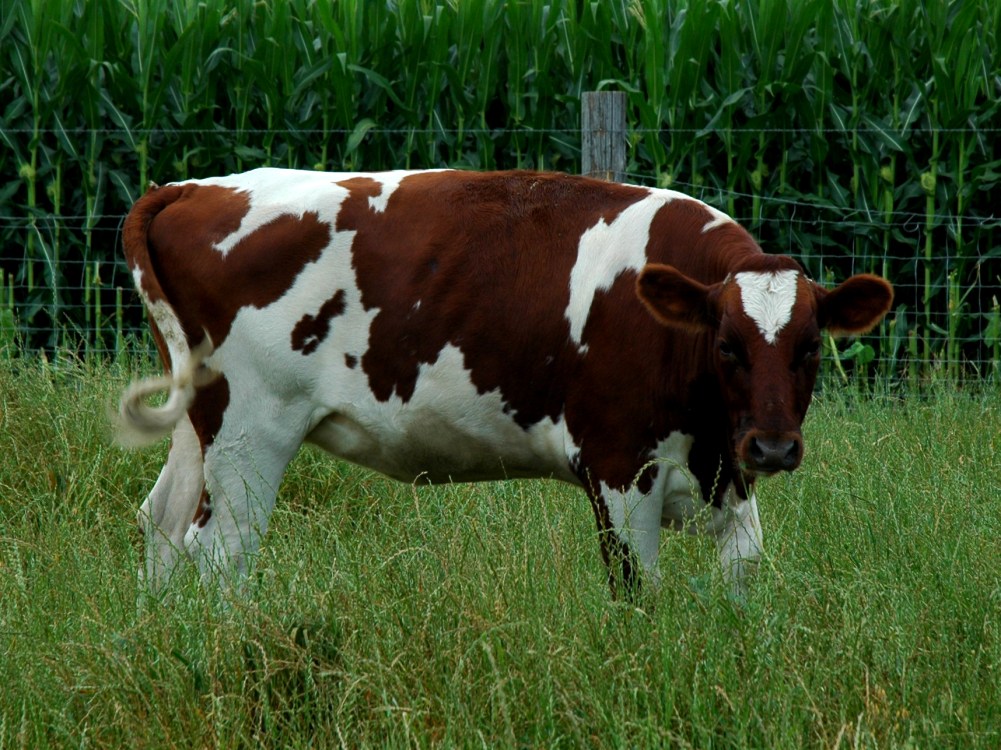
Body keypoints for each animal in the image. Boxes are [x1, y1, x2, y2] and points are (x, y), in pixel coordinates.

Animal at [116, 168, 893, 598]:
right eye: (727, 346)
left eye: (809, 348)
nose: (773, 448)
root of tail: (192, 188)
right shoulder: (619, 469)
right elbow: (636, 592)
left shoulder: (726, 479)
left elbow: (742, 581)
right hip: (252, 429)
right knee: (220, 556)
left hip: (200, 429)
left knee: (163, 527)